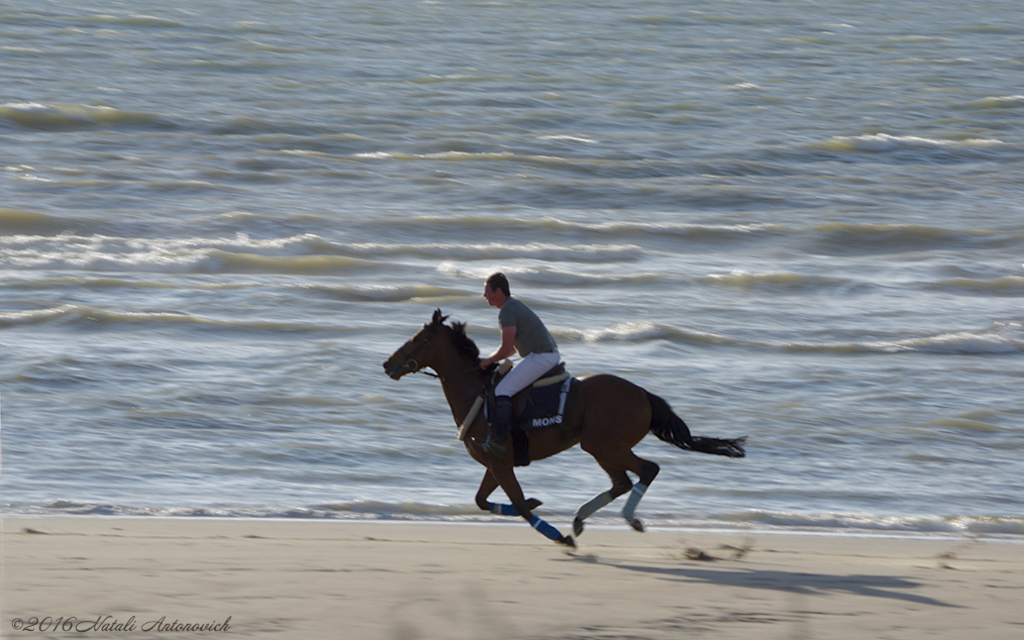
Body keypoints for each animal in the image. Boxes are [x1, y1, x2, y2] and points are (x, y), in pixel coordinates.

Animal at [385, 309, 745, 544]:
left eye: (418, 339)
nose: (388, 364)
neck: (475, 391)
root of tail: (643, 393)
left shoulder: (500, 460)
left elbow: (516, 502)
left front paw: (555, 534)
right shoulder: (492, 463)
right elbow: (484, 501)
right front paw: (535, 507)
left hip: (605, 445)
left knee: (647, 470)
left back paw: (626, 518)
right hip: (600, 448)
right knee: (622, 482)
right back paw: (581, 517)